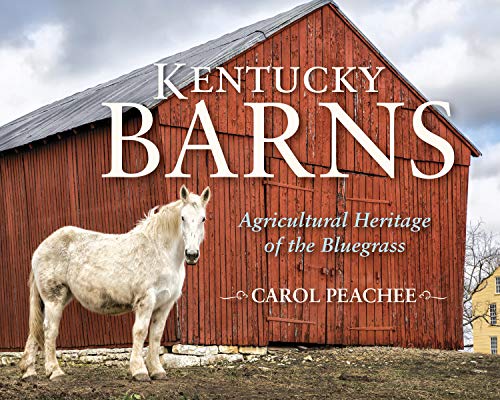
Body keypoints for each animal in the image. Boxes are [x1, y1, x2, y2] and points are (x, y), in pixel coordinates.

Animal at [19, 185, 210, 382]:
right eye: (182, 217)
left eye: (203, 218)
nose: (192, 254)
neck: (160, 251)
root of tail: (40, 248)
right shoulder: (146, 300)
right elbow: (140, 332)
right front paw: (139, 371)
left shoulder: (165, 304)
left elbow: (156, 335)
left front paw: (157, 371)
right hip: (54, 299)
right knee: (49, 331)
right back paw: (54, 372)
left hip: (52, 300)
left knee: (35, 332)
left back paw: (29, 372)